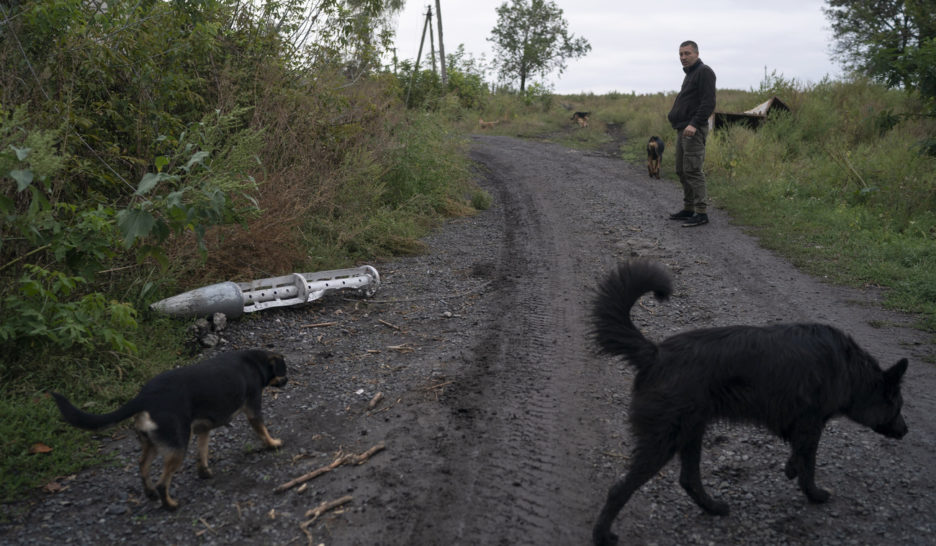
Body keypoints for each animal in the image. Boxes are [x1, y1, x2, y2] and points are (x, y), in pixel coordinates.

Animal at [592, 260, 908, 544]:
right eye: (898, 407)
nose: (906, 431)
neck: (849, 369)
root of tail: (655, 355)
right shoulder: (811, 425)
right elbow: (809, 465)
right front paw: (814, 494)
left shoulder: (803, 427)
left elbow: (798, 456)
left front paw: (791, 469)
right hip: (665, 439)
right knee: (619, 489)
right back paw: (602, 535)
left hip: (691, 431)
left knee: (689, 480)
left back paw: (713, 507)